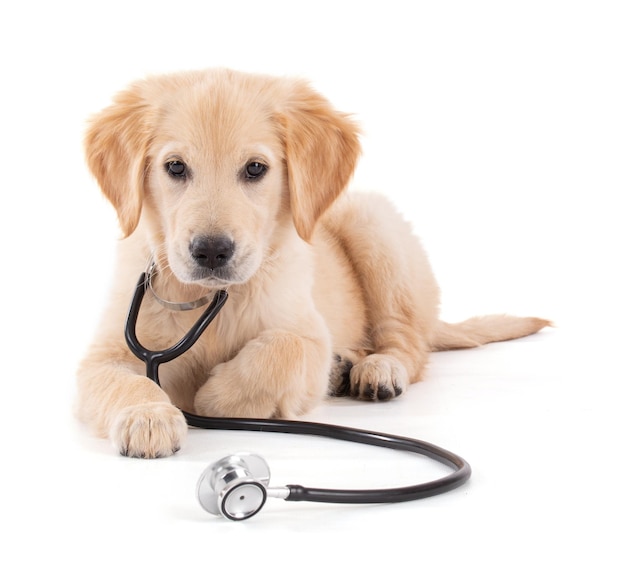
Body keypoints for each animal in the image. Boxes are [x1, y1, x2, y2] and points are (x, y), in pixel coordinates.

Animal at [75, 67, 548, 456]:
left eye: (255, 169)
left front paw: (216, 396)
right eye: (175, 167)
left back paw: (377, 370)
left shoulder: (308, 332)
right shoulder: (102, 354)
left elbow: (281, 349)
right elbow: (120, 380)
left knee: (408, 343)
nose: (211, 251)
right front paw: (147, 416)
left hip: (373, 223)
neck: (213, 298)